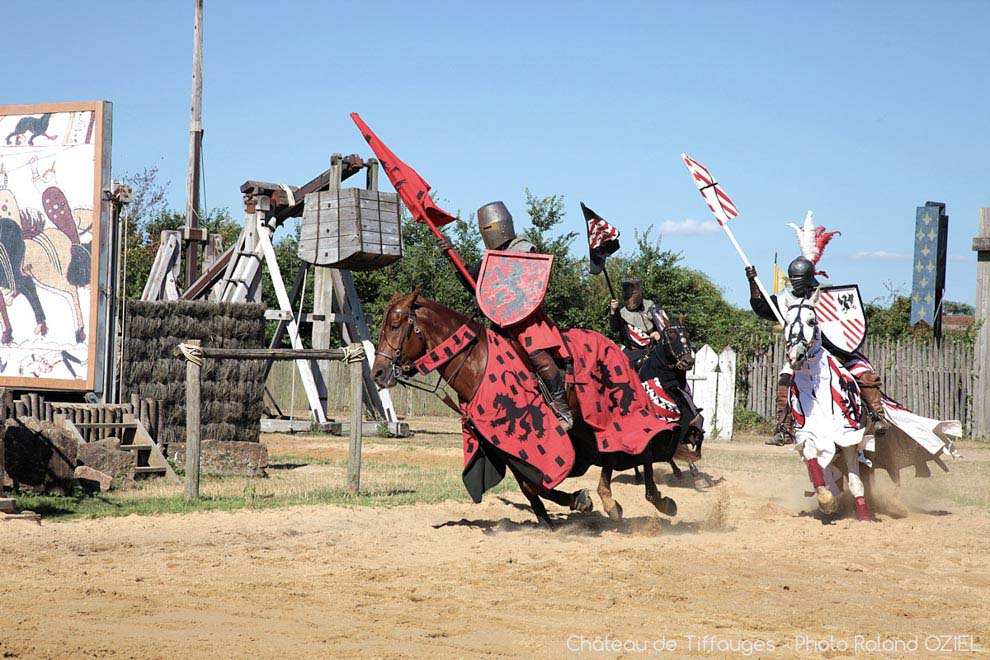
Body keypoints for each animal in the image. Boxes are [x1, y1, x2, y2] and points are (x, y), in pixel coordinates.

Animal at [368, 292, 684, 528]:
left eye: (395, 325)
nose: (379, 373)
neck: (476, 364)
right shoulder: (502, 446)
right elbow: (531, 486)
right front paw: (568, 506)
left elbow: (538, 481)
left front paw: (575, 503)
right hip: (585, 428)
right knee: (612, 454)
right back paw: (613, 500)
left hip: (612, 412)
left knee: (639, 445)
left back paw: (658, 500)